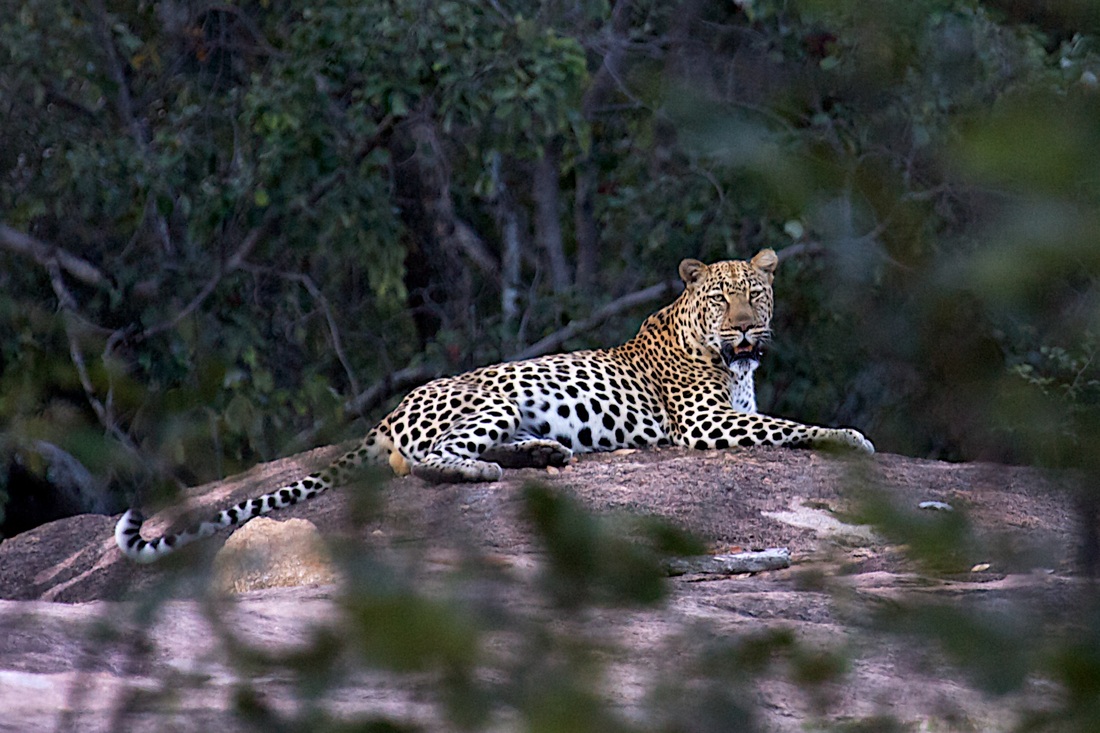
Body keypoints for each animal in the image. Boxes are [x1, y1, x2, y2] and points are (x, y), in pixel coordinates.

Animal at [116, 248, 873, 563]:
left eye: (757, 295)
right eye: (721, 299)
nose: (745, 330)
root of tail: (387, 412)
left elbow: (778, 420)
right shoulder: (704, 422)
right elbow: (788, 426)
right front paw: (850, 436)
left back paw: (541, 453)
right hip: (493, 394)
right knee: (422, 459)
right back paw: (487, 469)